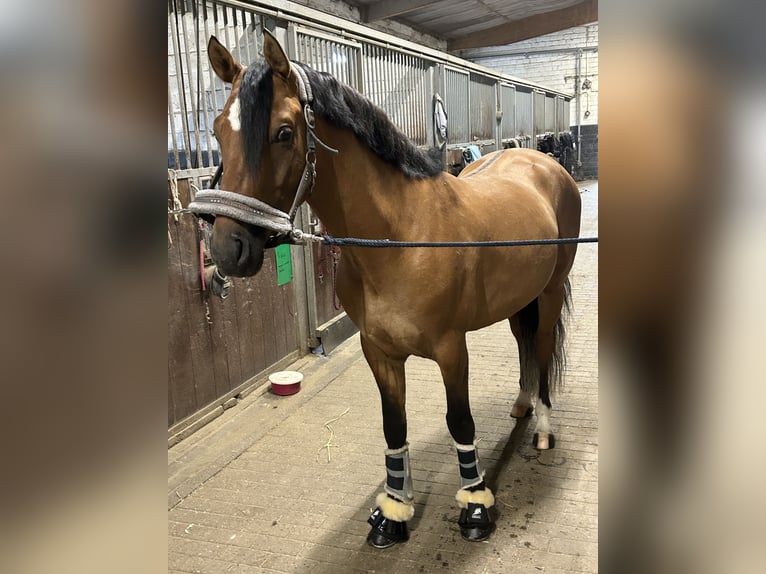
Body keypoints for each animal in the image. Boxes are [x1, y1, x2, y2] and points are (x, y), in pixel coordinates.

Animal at [195, 31, 581, 548]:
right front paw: (393, 512)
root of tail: (541, 160)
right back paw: (521, 405)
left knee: (540, 346)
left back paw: (541, 427)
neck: (399, 237)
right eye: (219, 131)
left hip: (551, 291)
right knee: (523, 342)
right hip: (520, 297)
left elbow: (459, 421)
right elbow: (393, 426)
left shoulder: (451, 349)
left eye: (283, 132)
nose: (226, 248)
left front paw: (475, 508)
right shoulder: (377, 350)